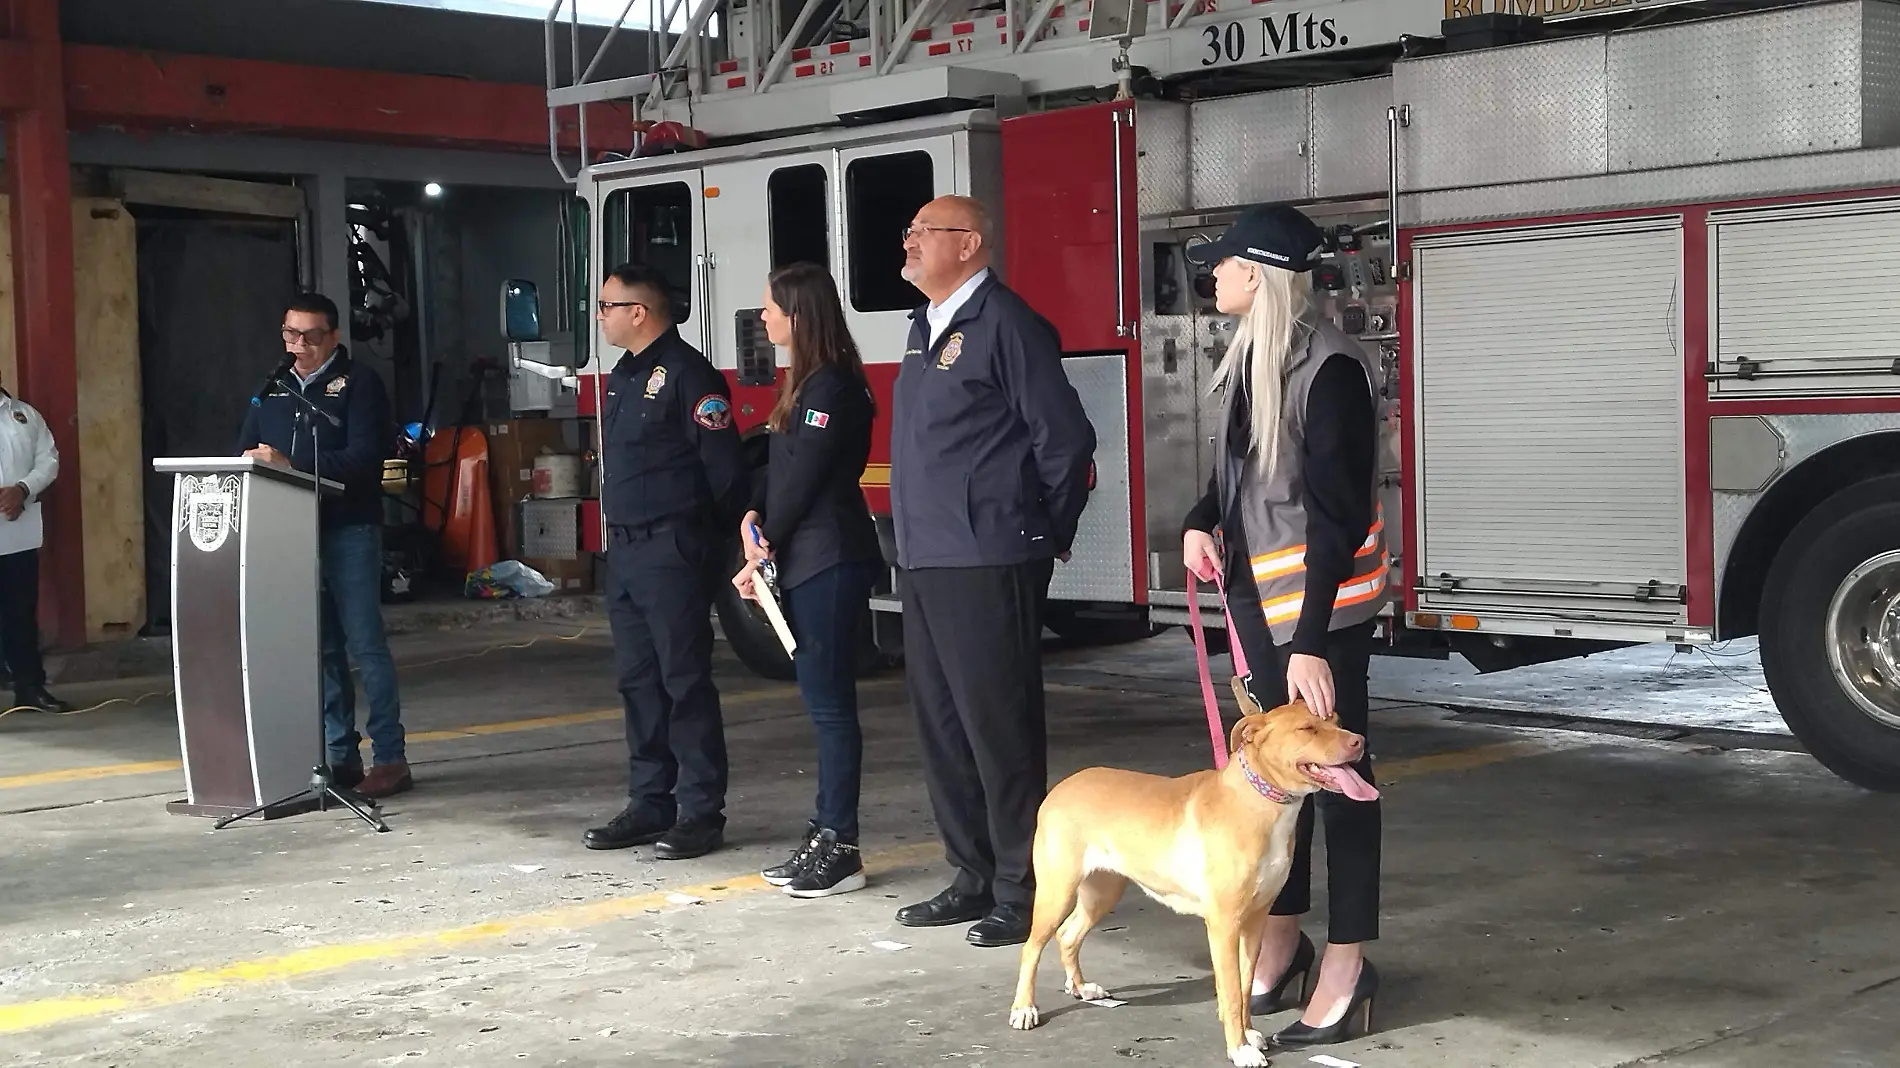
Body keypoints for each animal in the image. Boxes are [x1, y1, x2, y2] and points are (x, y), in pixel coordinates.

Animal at [1010, 676, 1383, 1056]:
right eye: (1307, 728)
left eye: (1336, 721)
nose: (1359, 741)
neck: (1259, 803)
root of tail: (1062, 786)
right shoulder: (1223, 924)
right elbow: (1231, 992)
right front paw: (1239, 1050)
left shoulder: (1255, 920)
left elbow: (1245, 985)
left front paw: (1248, 1033)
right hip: (1057, 891)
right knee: (1031, 947)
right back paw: (1024, 1008)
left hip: (1102, 891)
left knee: (1068, 935)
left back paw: (1081, 988)